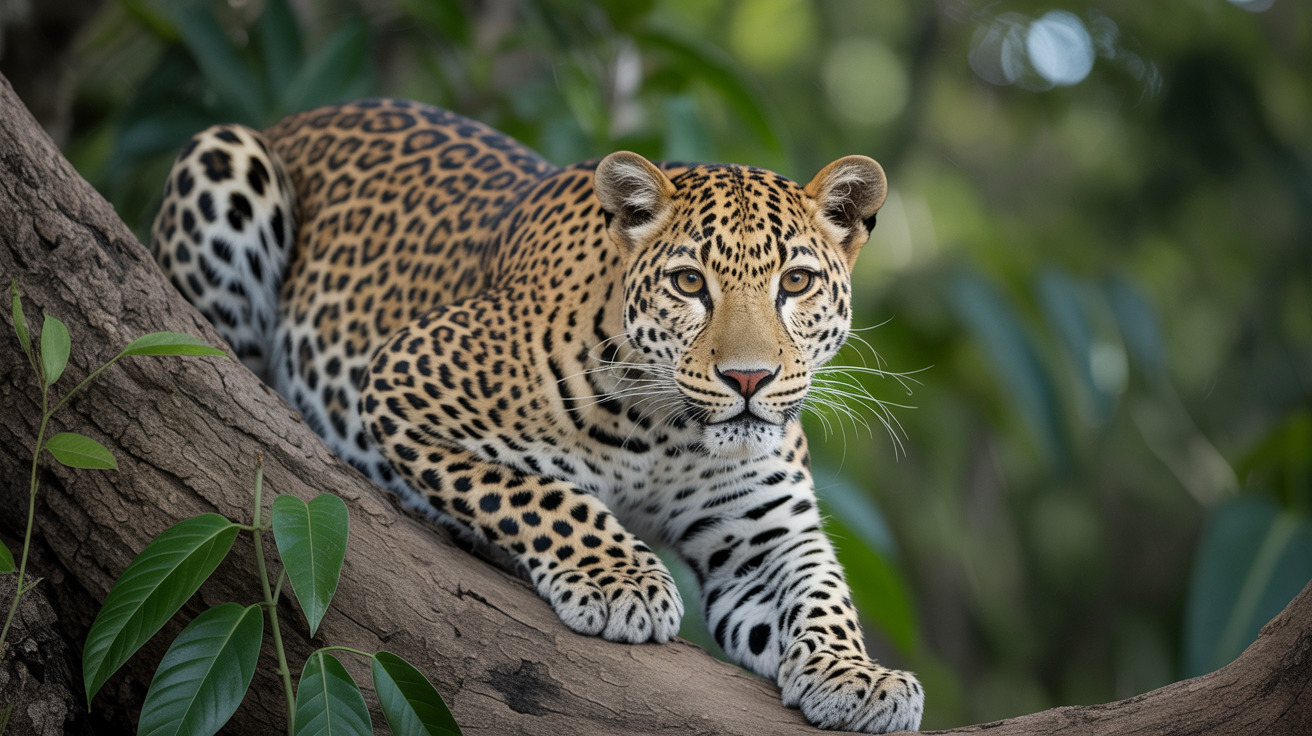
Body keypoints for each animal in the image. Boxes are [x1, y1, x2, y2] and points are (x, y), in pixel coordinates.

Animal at [150, 98, 923, 733]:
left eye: (795, 282)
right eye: (688, 283)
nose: (748, 378)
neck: (668, 431)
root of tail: (298, 119)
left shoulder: (763, 536)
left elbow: (823, 592)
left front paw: (861, 677)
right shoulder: (403, 377)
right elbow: (542, 494)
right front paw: (621, 581)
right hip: (224, 158)